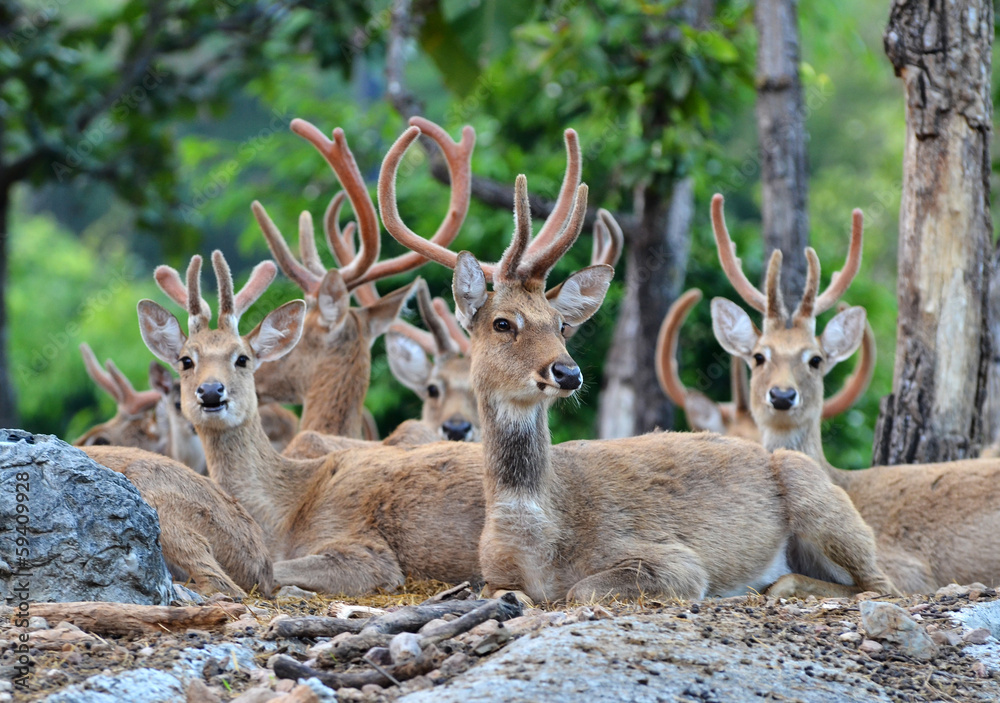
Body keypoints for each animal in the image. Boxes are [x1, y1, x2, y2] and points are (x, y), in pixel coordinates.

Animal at [376, 122, 900, 604]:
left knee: (882, 585)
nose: (567, 373)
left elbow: (582, 590)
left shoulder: (674, 559)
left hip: (820, 497)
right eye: (502, 323)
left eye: (560, 325)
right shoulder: (490, 572)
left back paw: (778, 584)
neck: (537, 538)